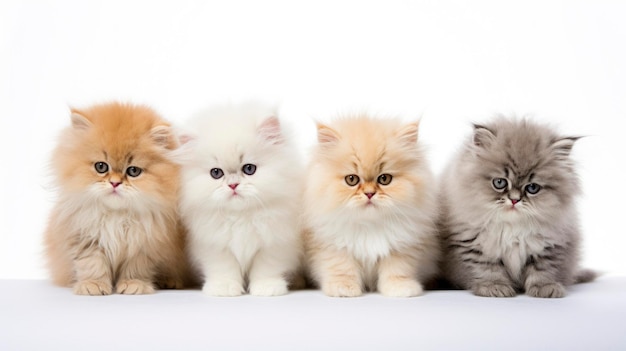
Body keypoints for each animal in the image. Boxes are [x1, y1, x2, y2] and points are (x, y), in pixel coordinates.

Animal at [43, 103, 190, 296]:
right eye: (101, 167)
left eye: (133, 171)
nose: (115, 183)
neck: (116, 215)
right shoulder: (85, 237)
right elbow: (92, 264)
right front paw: (93, 285)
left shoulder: (143, 244)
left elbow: (136, 268)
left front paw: (133, 285)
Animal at [176, 102, 302, 296]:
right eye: (216, 173)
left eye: (249, 169)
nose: (233, 185)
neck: (241, 216)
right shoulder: (215, 245)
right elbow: (224, 269)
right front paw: (224, 288)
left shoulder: (274, 244)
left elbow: (266, 268)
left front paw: (267, 288)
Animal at [302, 115, 438, 296]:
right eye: (351, 179)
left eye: (384, 179)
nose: (369, 193)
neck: (369, 226)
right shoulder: (333, 246)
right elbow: (342, 268)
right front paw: (343, 288)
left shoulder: (402, 247)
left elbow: (397, 270)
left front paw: (401, 288)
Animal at [436, 117, 592, 298]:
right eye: (499, 182)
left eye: (532, 188)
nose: (514, 200)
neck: (512, 228)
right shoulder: (473, 245)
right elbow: (488, 269)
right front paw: (494, 287)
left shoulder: (551, 245)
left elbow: (542, 269)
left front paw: (545, 287)